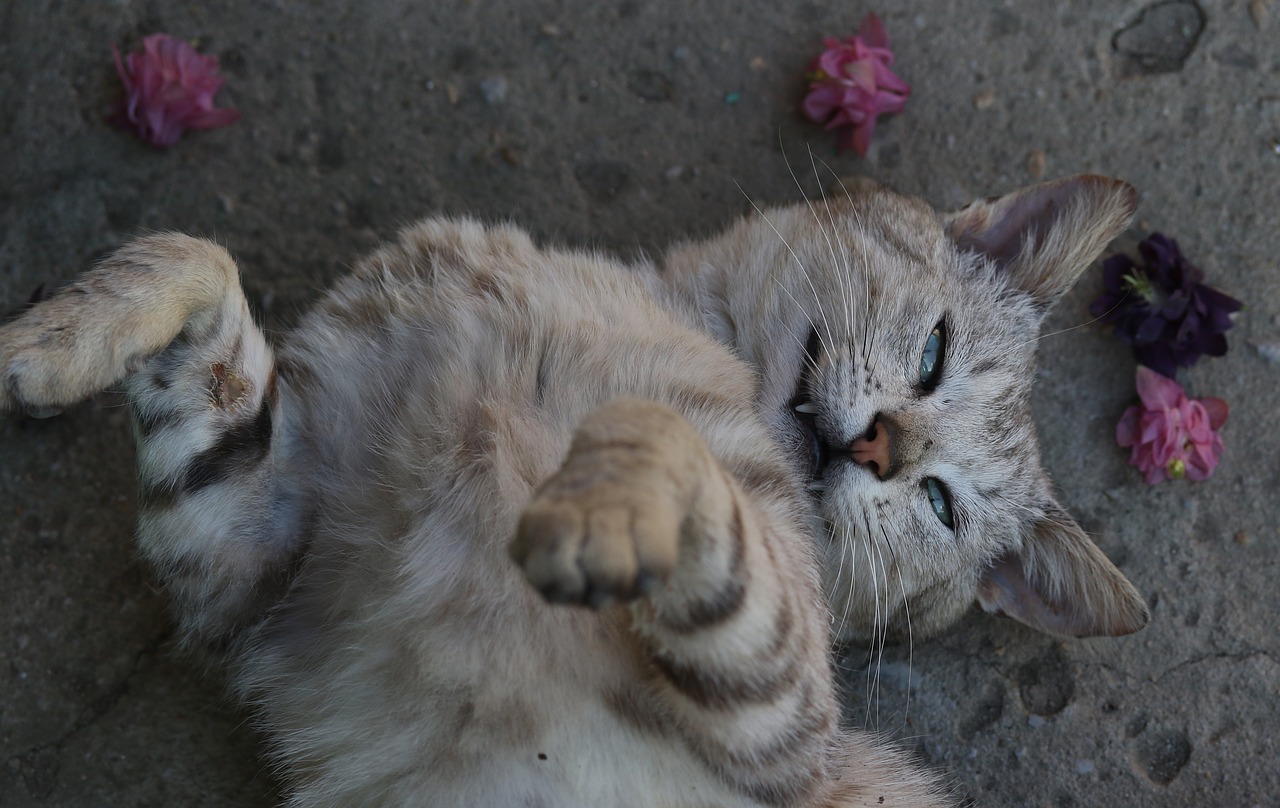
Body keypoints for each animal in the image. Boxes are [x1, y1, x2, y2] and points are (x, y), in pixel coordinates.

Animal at [0, 174, 1146, 804]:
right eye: (934, 351)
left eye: (940, 506)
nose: (882, 449)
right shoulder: (247, 558)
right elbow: (195, 256)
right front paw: (52, 337)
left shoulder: (780, 734)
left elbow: (679, 459)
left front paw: (610, 486)